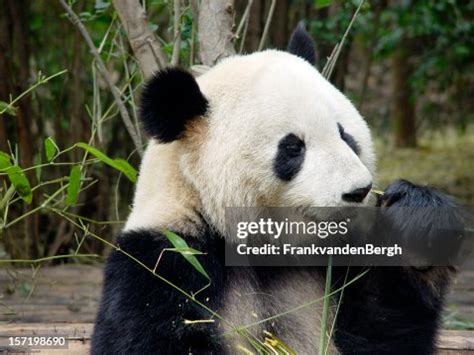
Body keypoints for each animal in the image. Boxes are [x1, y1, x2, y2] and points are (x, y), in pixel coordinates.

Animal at [90, 25, 462, 355]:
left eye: (345, 135)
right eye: (293, 148)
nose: (359, 191)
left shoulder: (336, 267)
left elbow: (383, 332)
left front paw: (417, 225)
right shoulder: (164, 261)